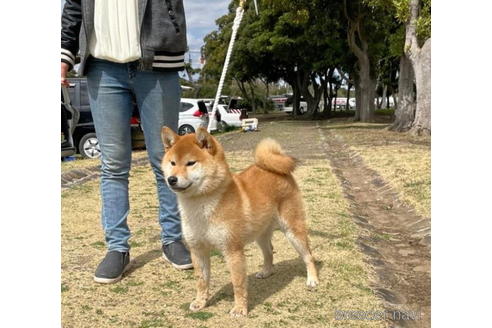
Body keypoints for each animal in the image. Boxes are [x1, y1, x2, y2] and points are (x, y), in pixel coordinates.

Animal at [160, 127, 318, 316]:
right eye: (172, 163)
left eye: (191, 163)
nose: (171, 179)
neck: (201, 206)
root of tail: (275, 169)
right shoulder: (197, 250)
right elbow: (201, 280)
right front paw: (200, 302)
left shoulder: (232, 250)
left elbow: (238, 283)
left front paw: (240, 308)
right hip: (261, 234)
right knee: (269, 252)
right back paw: (266, 271)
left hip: (293, 230)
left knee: (308, 256)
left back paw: (312, 280)